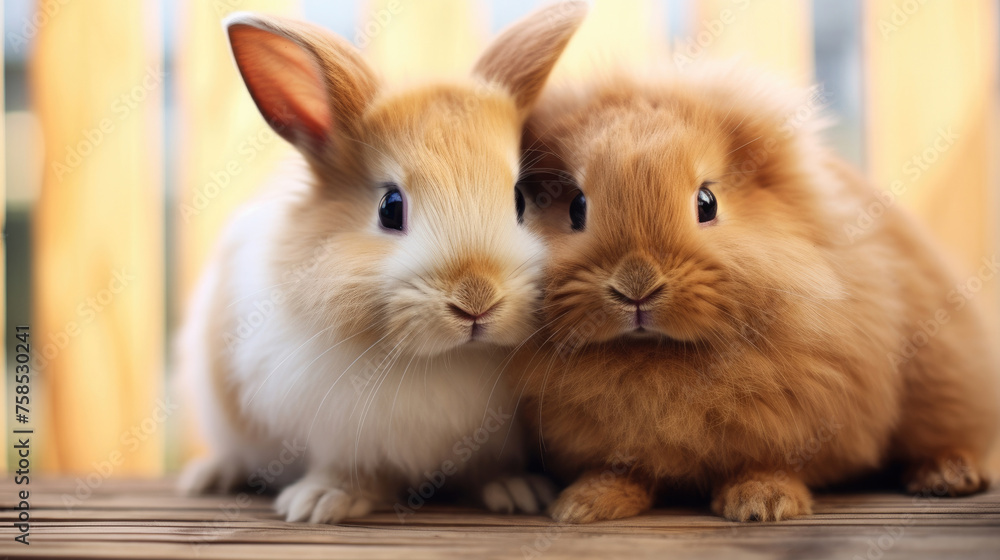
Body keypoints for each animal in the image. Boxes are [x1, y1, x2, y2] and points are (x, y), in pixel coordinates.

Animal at [177, 2, 587, 524]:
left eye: (520, 199)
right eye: (391, 208)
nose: (477, 301)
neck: (446, 358)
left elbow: (491, 466)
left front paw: (518, 491)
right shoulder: (338, 429)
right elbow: (351, 469)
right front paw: (320, 502)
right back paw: (210, 477)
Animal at [510, 65, 999, 523]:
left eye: (706, 203)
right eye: (576, 206)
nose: (636, 286)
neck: (656, 357)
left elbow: (771, 461)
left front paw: (760, 503)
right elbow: (620, 470)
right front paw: (582, 505)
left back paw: (946, 476)